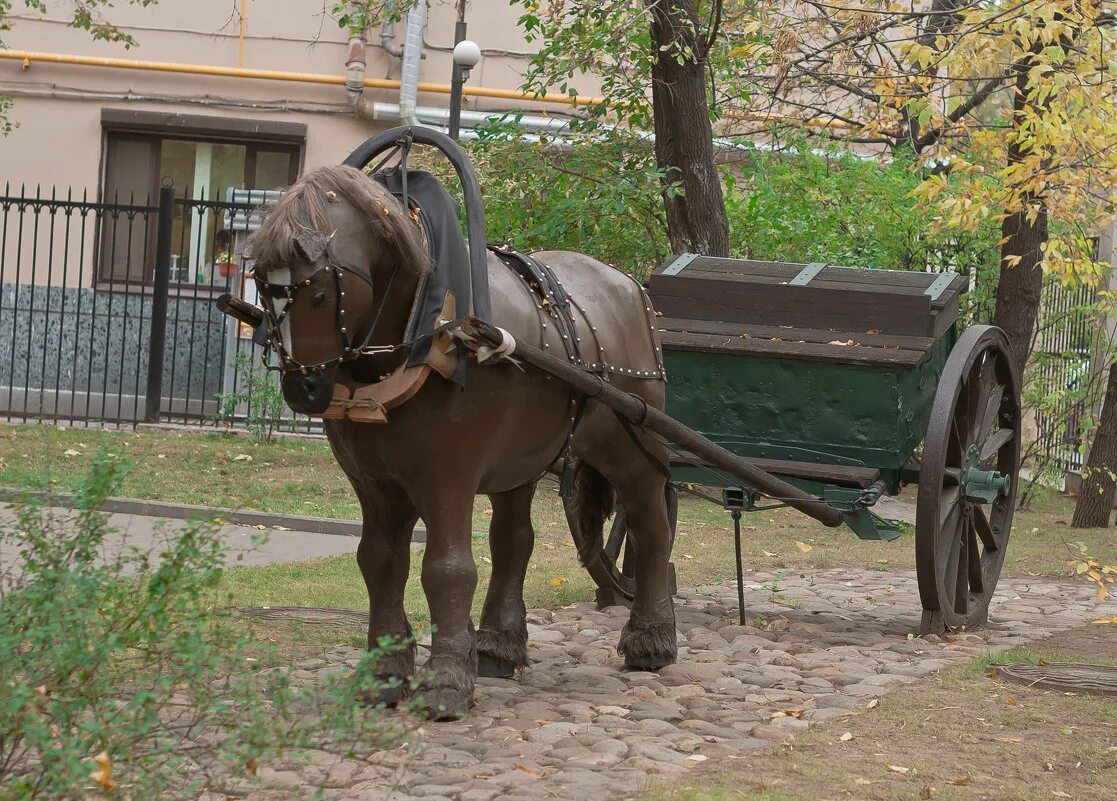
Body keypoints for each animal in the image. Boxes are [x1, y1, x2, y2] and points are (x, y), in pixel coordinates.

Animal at [245, 164, 674, 719]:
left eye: (318, 294)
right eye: (261, 286)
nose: (305, 389)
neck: (428, 332)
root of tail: (632, 287)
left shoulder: (447, 475)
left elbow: (446, 569)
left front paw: (445, 680)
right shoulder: (375, 485)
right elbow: (379, 561)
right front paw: (385, 672)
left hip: (631, 447)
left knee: (650, 528)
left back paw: (652, 638)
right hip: (521, 457)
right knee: (514, 541)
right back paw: (499, 646)